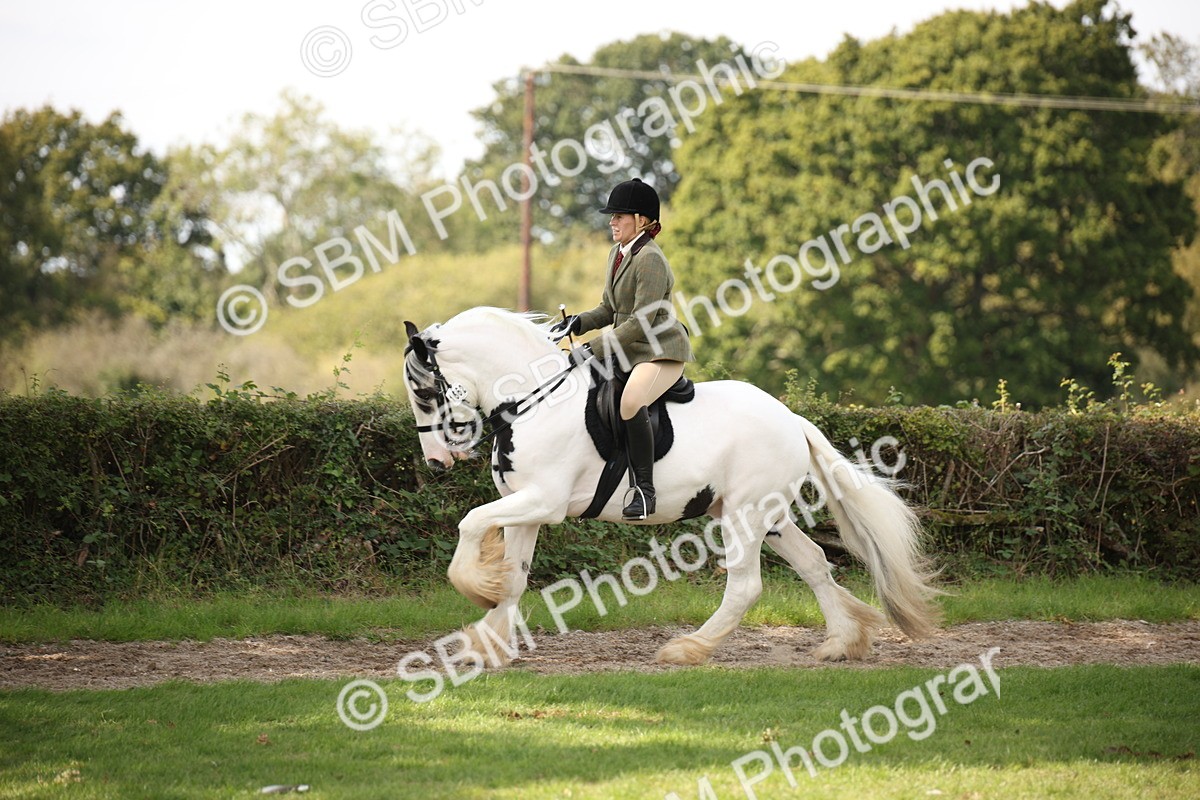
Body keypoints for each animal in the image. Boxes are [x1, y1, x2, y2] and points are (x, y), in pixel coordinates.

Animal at [401, 306, 940, 667]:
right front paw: (486, 644)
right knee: (813, 563)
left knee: (745, 585)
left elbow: (470, 523)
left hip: (745, 516)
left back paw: (688, 649)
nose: (436, 462)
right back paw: (841, 643)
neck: (533, 399)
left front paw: (476, 589)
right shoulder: (523, 505)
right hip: (765, 515)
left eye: (424, 391)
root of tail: (791, 418)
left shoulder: (544, 502)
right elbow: (514, 576)